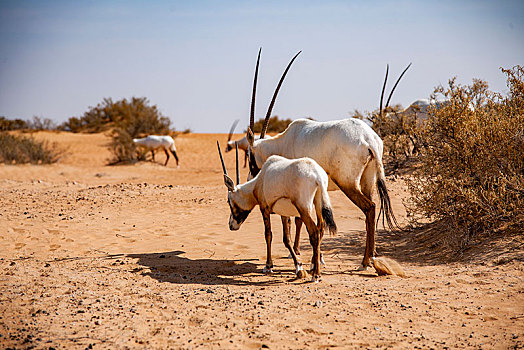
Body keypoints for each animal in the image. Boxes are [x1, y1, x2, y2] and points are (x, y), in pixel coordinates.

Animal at [216, 141, 336, 280]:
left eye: (228, 201)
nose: (231, 225)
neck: (259, 182)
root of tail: (318, 177)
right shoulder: (284, 214)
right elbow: (286, 239)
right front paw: (298, 266)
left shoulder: (264, 209)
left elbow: (268, 235)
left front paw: (270, 266)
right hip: (318, 205)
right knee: (320, 230)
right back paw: (313, 267)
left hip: (304, 209)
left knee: (314, 233)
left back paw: (316, 274)